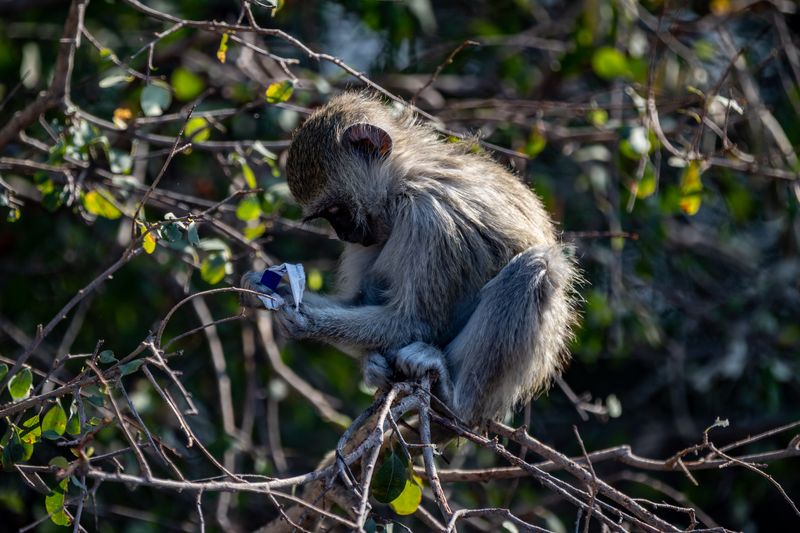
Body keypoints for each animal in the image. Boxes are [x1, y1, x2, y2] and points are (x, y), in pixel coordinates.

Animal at [241, 91, 580, 424]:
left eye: (337, 211)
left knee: (538, 267)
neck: (406, 181)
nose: (344, 235)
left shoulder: (431, 219)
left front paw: (305, 318)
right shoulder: (375, 230)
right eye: (329, 216)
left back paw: (456, 403)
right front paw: (269, 287)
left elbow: (416, 322)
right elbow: (358, 301)